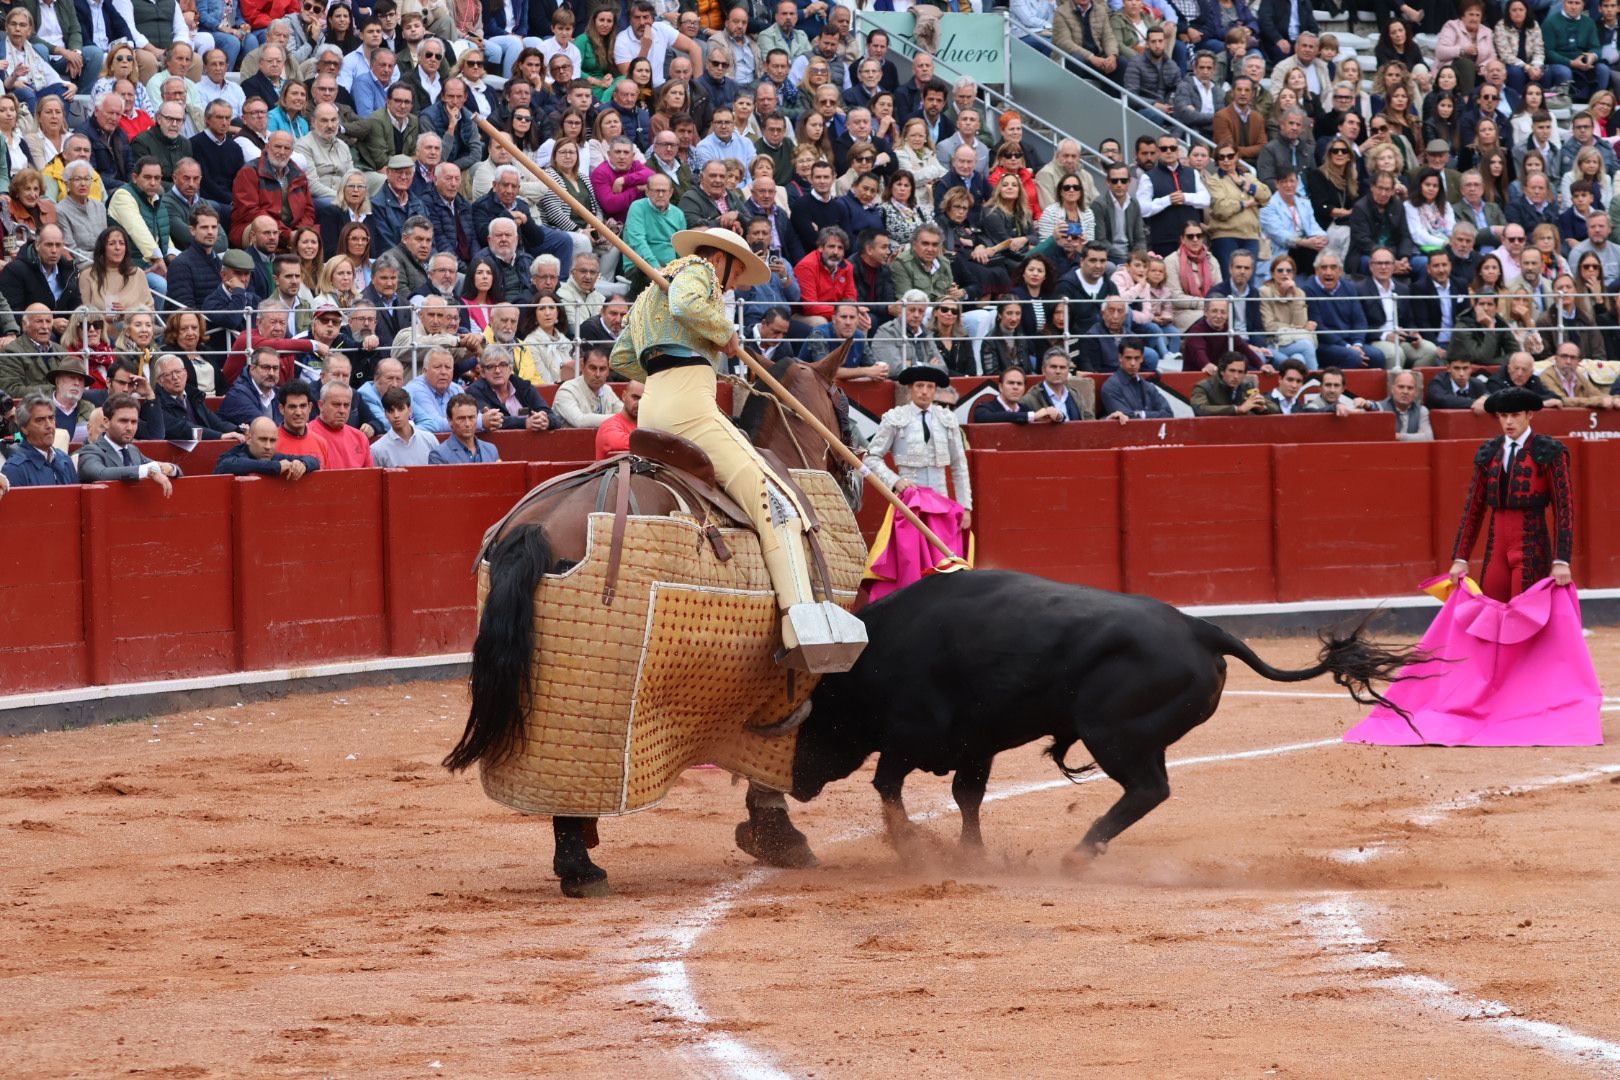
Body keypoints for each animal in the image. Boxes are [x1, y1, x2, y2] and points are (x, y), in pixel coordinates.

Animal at [437, 344, 855, 893]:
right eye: (843, 403)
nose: (854, 463)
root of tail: (537, 525)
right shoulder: (792, 675)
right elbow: (777, 741)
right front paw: (779, 837)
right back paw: (581, 868)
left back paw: (576, 858)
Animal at [793, 569, 1419, 867]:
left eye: (808, 724)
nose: (795, 785)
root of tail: (1199, 628)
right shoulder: (976, 745)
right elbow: (966, 798)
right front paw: (972, 855)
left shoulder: (911, 735)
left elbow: (887, 786)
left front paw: (911, 850)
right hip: (1136, 737)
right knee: (1151, 789)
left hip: (1112, 734)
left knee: (1147, 789)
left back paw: (1080, 852)